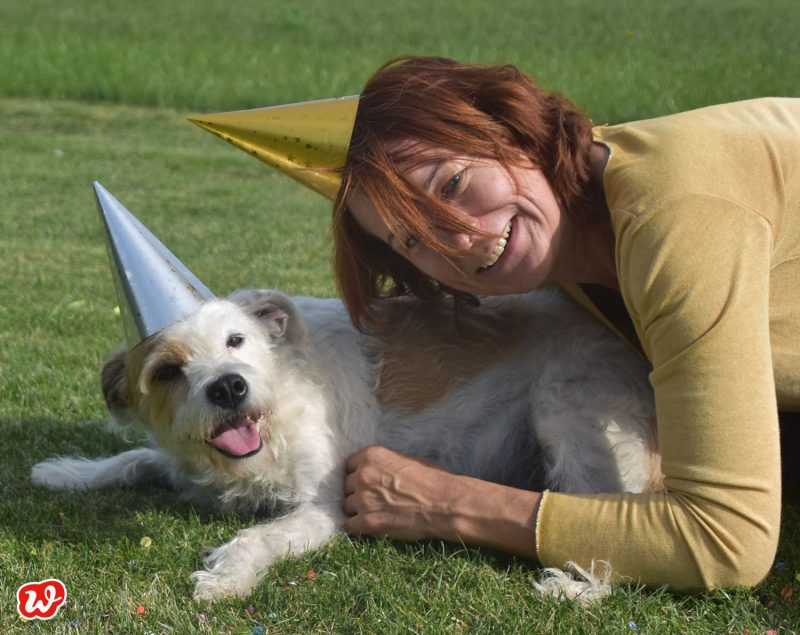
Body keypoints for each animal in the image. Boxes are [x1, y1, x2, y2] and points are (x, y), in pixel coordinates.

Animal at [31, 288, 660, 608]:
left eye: (236, 340)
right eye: (166, 371)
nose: (229, 387)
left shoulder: (325, 507)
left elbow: (260, 535)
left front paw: (226, 576)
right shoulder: (185, 460)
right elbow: (138, 457)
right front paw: (67, 472)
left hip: (564, 409)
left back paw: (579, 587)